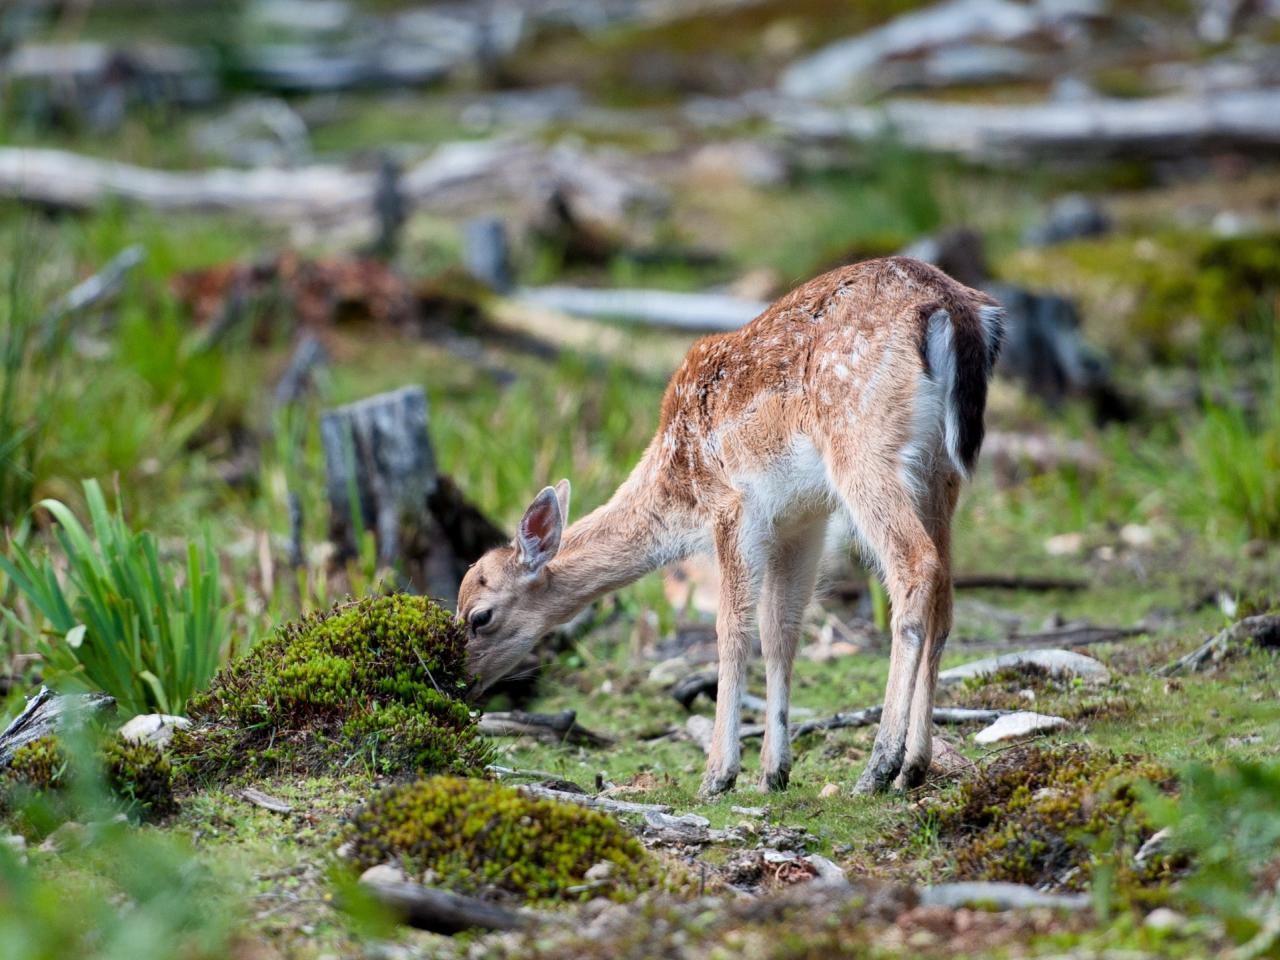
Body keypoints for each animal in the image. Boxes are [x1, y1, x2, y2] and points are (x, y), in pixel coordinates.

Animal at [455, 257, 1003, 798]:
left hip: (863, 445)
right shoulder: (802, 518)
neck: (673, 484)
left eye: (479, 616)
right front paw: (772, 772)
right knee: (945, 595)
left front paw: (719, 773)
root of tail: (954, 306)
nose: (456, 682)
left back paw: (879, 766)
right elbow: (780, 627)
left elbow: (730, 629)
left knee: (914, 564)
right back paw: (914, 765)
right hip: (940, 471)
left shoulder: (732, 505)